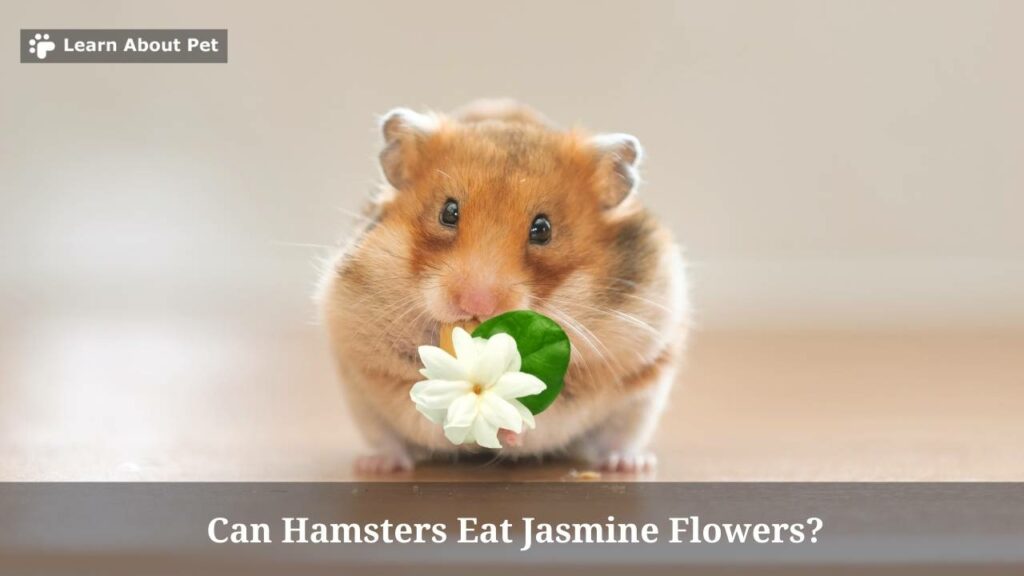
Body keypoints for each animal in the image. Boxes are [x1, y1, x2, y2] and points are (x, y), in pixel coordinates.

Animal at [317, 99, 690, 474]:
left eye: (543, 229)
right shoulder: (368, 357)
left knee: (616, 439)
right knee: (388, 440)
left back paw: (628, 464)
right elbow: (414, 397)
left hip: (640, 404)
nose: (477, 303)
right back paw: (378, 464)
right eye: (448, 212)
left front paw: (509, 429)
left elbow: (550, 408)